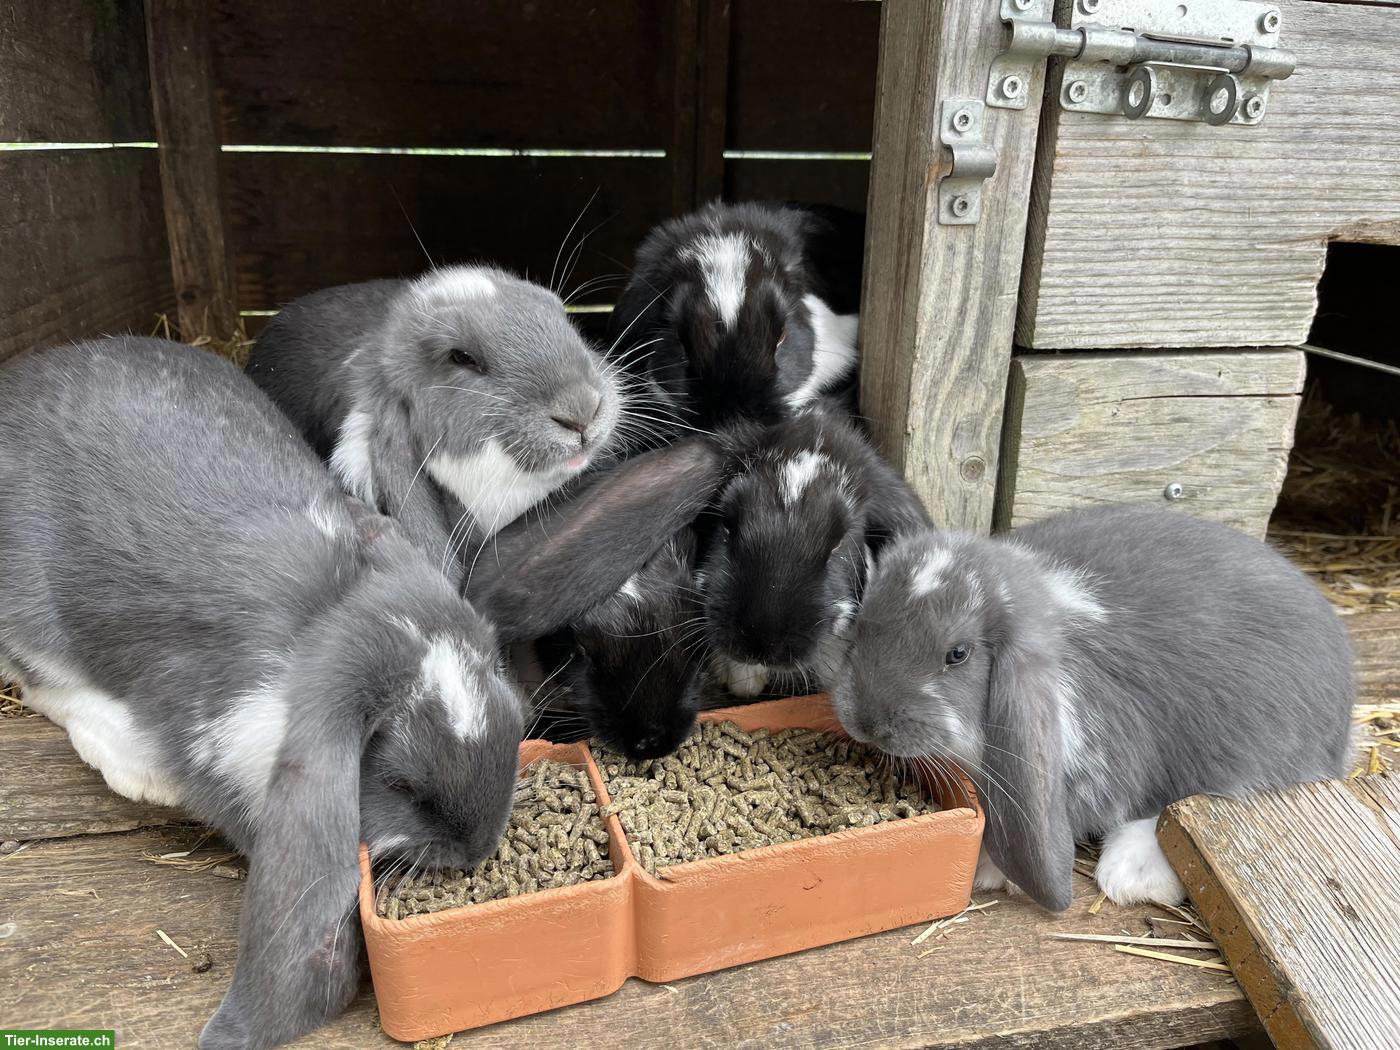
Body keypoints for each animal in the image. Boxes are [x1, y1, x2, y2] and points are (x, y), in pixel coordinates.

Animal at [0, 337, 525, 1050]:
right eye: (405, 787)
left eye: (517, 724)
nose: (480, 849)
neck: (334, 609)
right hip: (31, 612)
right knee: (41, 682)